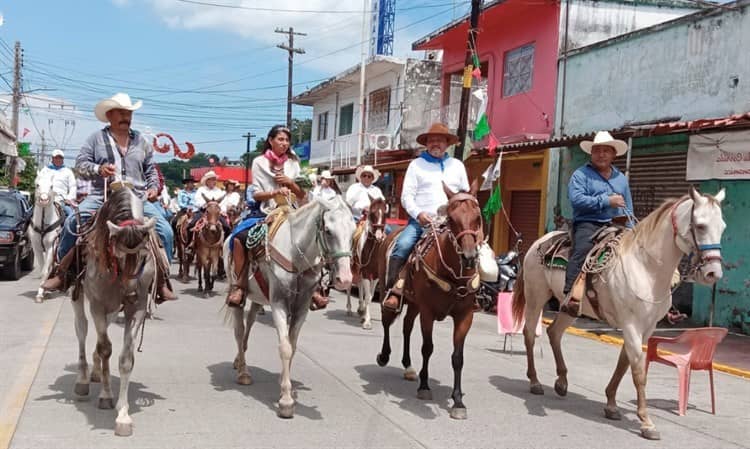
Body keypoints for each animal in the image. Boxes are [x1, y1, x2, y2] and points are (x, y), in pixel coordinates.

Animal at [28, 173, 64, 302]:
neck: (43, 225)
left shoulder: (51, 247)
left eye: (51, 186)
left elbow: (45, 271)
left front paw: (41, 292)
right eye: (37, 185)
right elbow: (42, 270)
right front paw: (41, 292)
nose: (44, 200)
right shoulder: (36, 248)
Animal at [70, 186, 160, 434]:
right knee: (81, 331)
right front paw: (106, 396)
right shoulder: (98, 304)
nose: (130, 294)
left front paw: (123, 415)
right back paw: (83, 379)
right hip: (78, 296)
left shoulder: (136, 309)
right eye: (117, 255)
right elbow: (105, 349)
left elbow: (125, 359)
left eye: (143, 256)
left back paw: (95, 372)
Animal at [225, 195, 356, 416]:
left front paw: (283, 384)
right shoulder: (279, 304)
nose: (345, 279)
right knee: (239, 330)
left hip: (258, 298)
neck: (297, 255)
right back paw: (243, 372)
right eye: (328, 230)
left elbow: (293, 346)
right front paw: (286, 400)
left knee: (249, 322)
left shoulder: (301, 308)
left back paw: (238, 360)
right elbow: (285, 347)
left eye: (353, 231)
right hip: (237, 291)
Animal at [374, 191, 482, 418]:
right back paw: (384, 356)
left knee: (406, 327)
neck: (453, 274)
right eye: (452, 219)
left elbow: (458, 357)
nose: (469, 257)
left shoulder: (465, 315)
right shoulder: (427, 312)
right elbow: (427, 348)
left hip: (414, 304)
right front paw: (424, 387)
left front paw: (458, 401)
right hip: (388, 293)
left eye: (477, 217)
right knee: (387, 322)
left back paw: (408, 367)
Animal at [516, 187, 724, 440]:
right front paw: (647, 423)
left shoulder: (646, 327)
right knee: (529, 333)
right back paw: (535, 381)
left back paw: (562, 382)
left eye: (722, 227)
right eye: (701, 226)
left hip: (570, 308)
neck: (647, 269)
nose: (713, 273)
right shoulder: (631, 324)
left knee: (554, 332)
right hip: (536, 297)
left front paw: (611, 405)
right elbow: (637, 371)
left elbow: (624, 363)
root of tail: (540, 242)